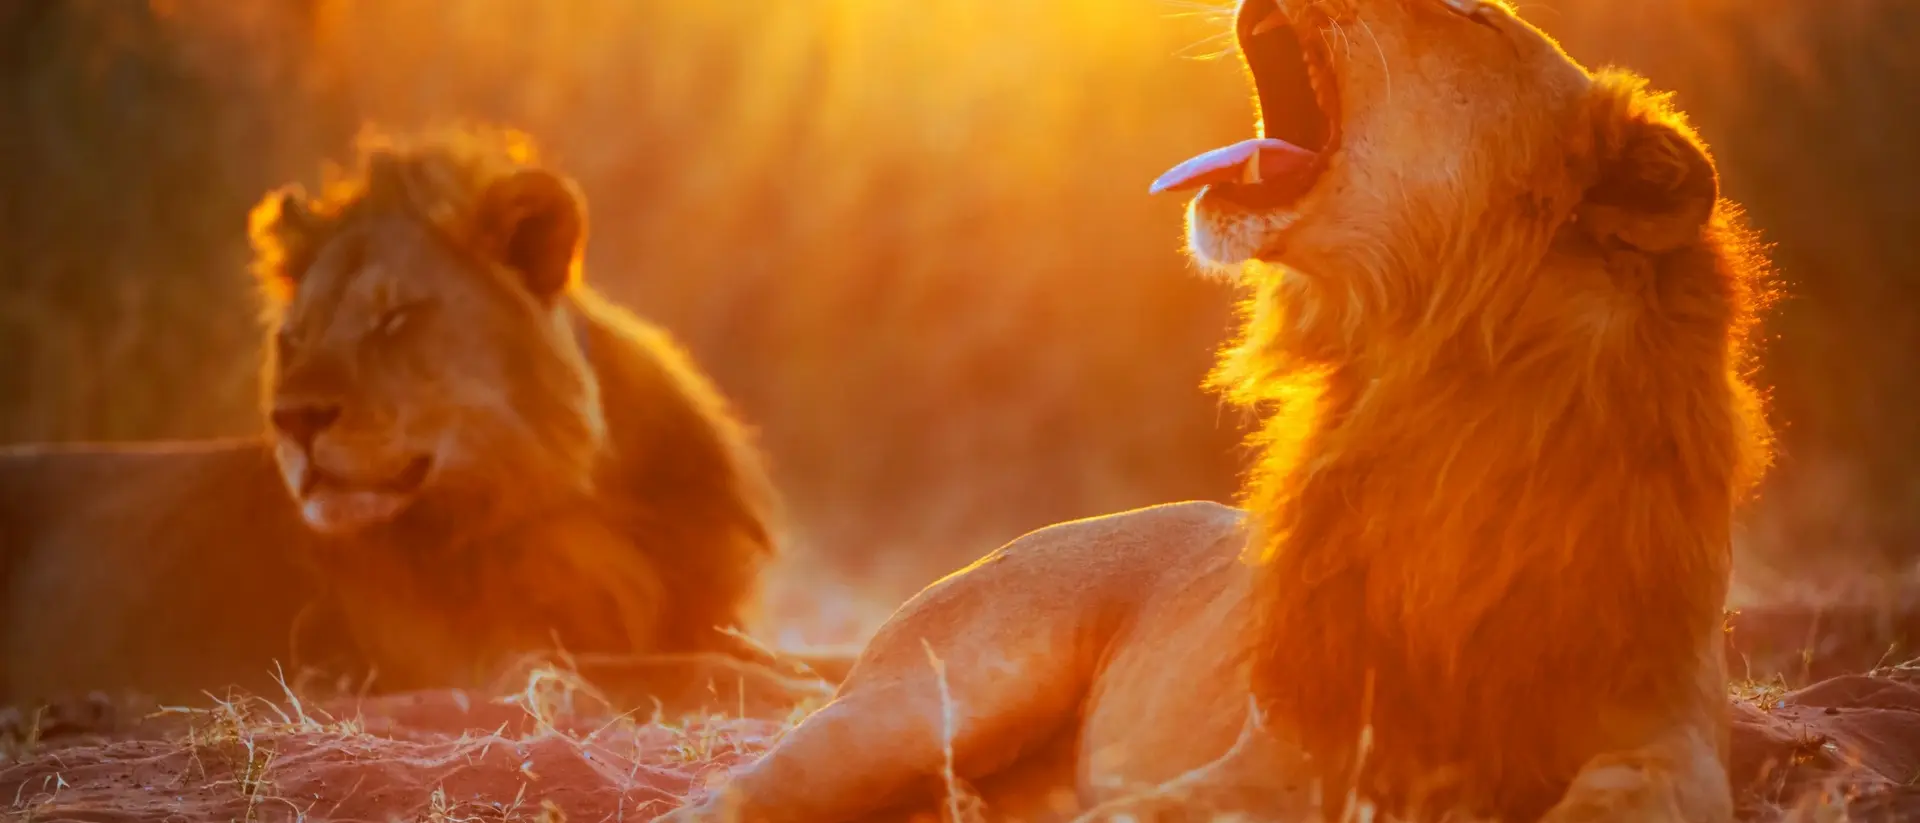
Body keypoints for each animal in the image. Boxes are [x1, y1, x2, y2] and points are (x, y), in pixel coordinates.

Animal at [0, 127, 837, 718]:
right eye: (294, 338)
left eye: (394, 319)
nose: (293, 420)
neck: (575, 504)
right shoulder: (484, 666)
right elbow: (682, 669)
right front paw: (794, 692)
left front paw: (817, 671)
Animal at [661, 0, 1773, 821]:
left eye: (1474, 13)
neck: (1444, 389)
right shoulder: (1290, 738)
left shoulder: (1663, 729)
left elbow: (1626, 794)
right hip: (930, 699)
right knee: (727, 799)